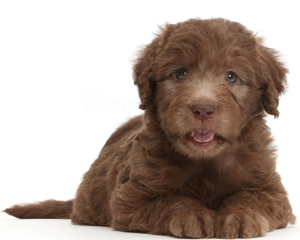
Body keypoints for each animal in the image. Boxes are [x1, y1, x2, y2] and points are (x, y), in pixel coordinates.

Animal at [4, 18, 296, 238]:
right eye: (180, 73)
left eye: (232, 77)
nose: (202, 108)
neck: (205, 161)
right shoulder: (130, 198)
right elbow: (170, 200)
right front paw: (194, 215)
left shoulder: (271, 188)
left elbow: (254, 197)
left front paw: (239, 215)